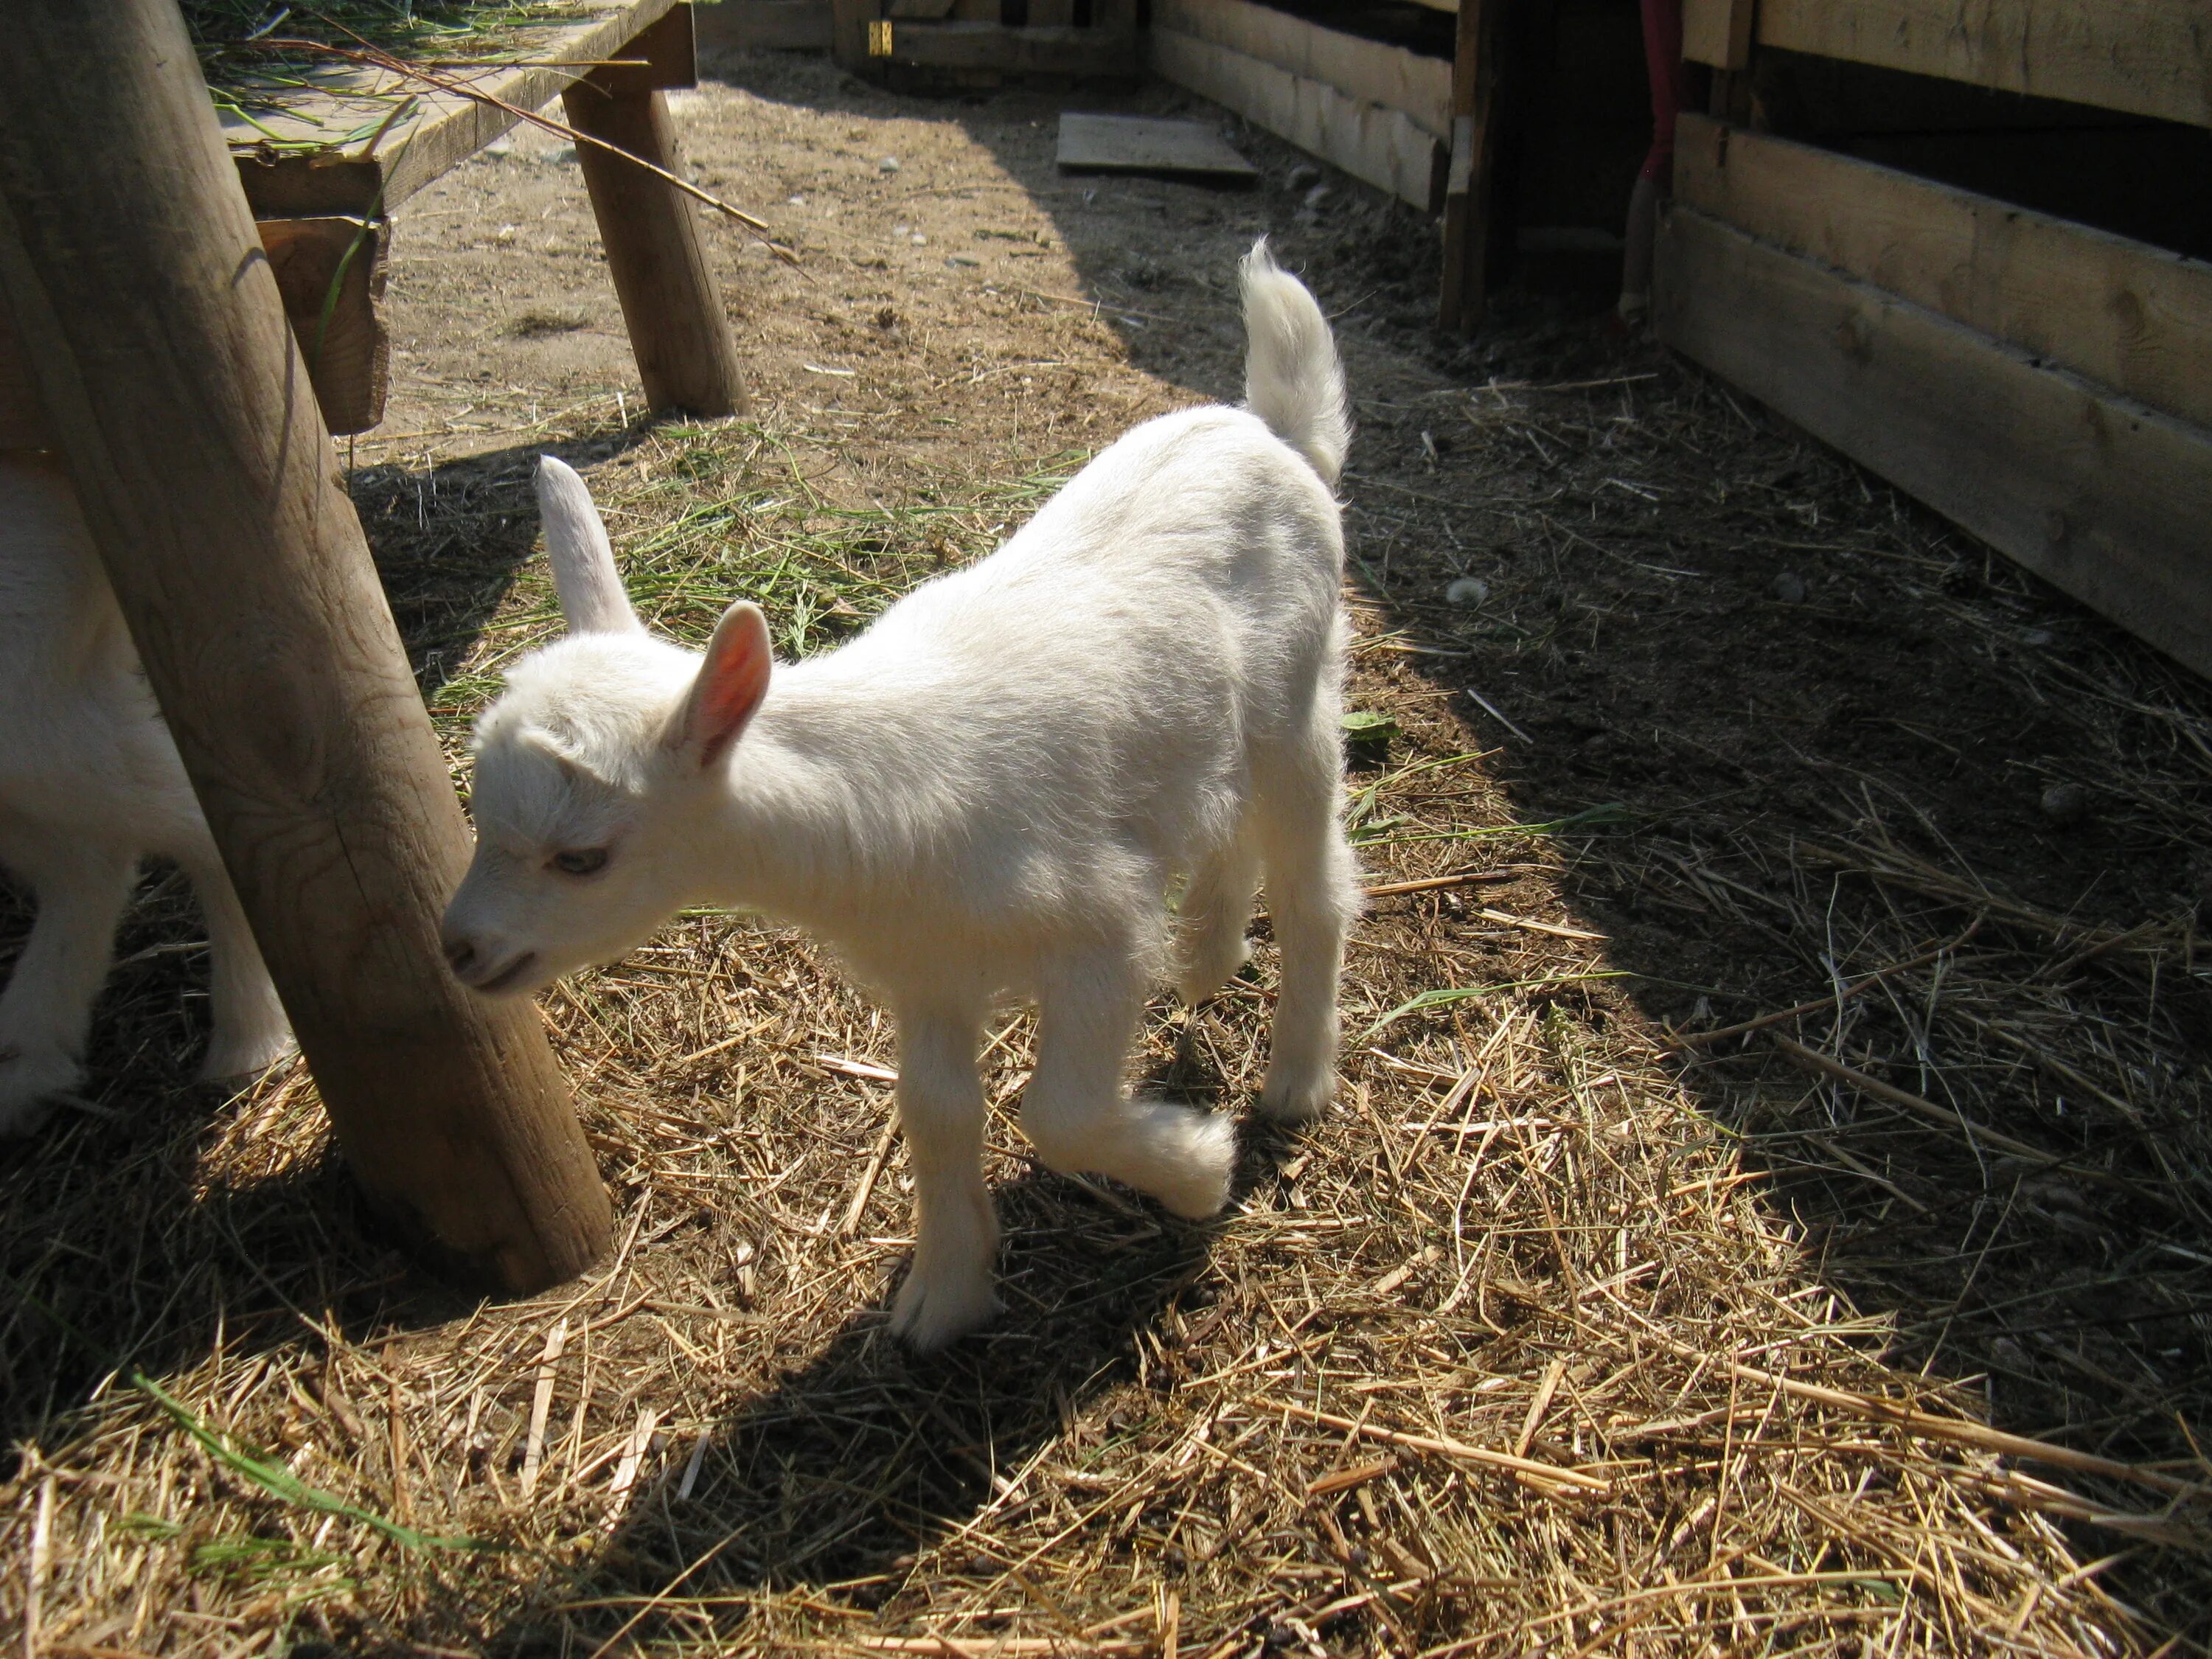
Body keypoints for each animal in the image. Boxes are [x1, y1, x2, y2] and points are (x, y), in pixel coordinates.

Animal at [440, 237, 1354, 1354]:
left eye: (582, 857)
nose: (459, 949)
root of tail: (1276, 435)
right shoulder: (929, 971)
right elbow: (936, 1113)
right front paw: (944, 1297)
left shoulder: (1100, 928)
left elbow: (1058, 1116)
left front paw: (1198, 1172)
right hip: (1216, 735)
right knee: (1227, 830)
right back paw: (1207, 954)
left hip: (1301, 701)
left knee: (1316, 884)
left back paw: (1296, 1083)